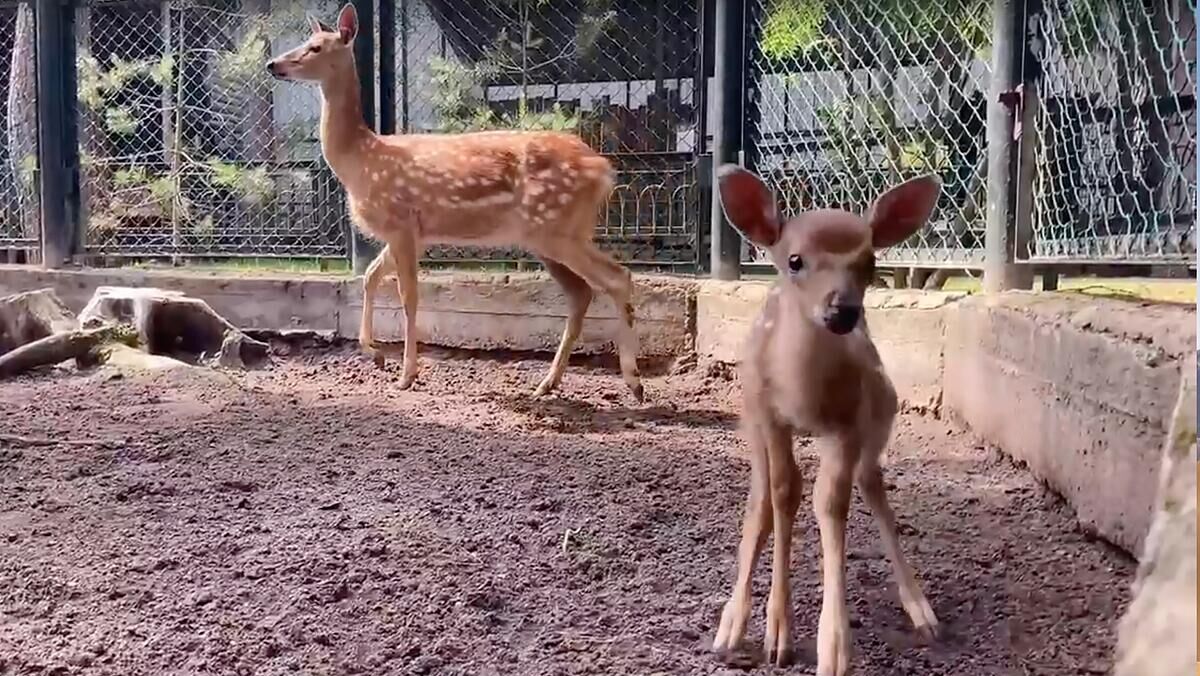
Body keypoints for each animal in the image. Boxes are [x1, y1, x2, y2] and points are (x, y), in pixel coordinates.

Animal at [266, 2, 643, 398]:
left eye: (315, 48)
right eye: (304, 41)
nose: (273, 64)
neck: (362, 160)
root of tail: (604, 169)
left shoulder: (401, 222)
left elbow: (408, 296)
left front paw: (407, 374)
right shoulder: (412, 231)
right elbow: (369, 277)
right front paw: (375, 353)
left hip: (557, 227)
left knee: (617, 277)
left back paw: (633, 381)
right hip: (550, 234)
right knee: (581, 293)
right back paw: (547, 382)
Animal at [705, 165, 940, 676]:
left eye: (869, 263)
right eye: (794, 260)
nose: (842, 310)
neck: (805, 398)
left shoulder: (849, 420)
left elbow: (830, 502)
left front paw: (833, 648)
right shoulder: (770, 415)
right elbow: (783, 494)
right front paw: (777, 635)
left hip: (881, 408)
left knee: (871, 483)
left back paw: (921, 610)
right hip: (750, 415)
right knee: (760, 496)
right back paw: (731, 624)